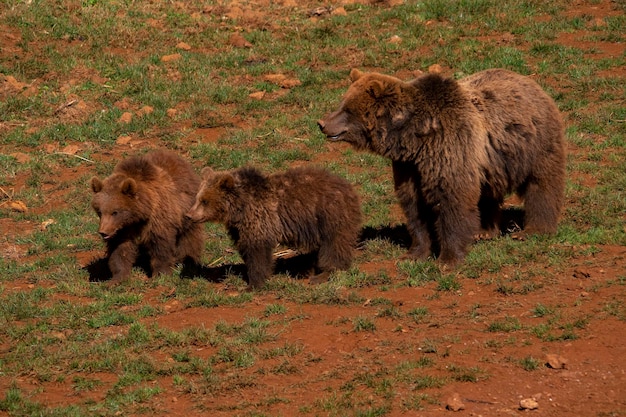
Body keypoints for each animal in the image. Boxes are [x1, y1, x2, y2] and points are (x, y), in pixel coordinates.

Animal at [90, 150, 204, 282]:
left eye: (115, 212)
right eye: (99, 211)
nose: (103, 232)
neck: (140, 214)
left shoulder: (159, 216)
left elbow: (160, 245)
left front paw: (160, 274)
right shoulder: (123, 228)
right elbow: (120, 248)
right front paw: (117, 277)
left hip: (187, 208)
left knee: (190, 235)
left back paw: (187, 261)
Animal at [320, 67, 564, 264]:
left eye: (348, 110)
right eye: (342, 103)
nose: (322, 123)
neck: (414, 138)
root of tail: (530, 82)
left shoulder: (449, 150)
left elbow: (452, 201)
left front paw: (448, 259)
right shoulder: (410, 166)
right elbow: (414, 207)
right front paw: (414, 254)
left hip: (536, 143)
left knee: (541, 185)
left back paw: (532, 230)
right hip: (489, 162)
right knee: (487, 192)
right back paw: (485, 231)